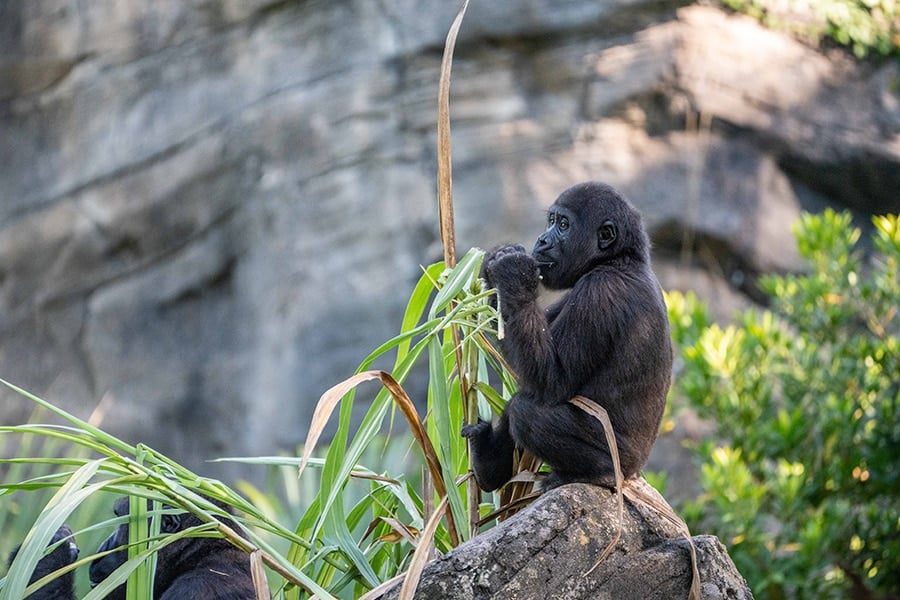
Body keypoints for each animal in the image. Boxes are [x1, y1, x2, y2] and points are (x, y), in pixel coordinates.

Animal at [468, 182, 672, 492]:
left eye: (563, 225)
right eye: (551, 221)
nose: (542, 241)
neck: (620, 259)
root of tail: (636, 472)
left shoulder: (599, 292)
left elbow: (550, 378)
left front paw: (513, 272)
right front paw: (497, 261)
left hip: (624, 464)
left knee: (527, 411)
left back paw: (598, 473)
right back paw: (488, 463)